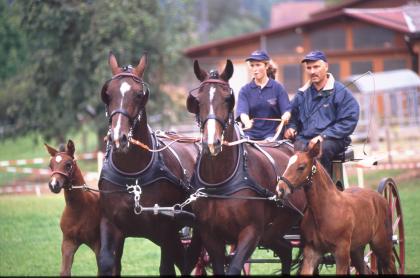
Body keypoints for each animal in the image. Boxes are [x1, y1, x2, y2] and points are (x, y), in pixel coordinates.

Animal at [44, 139, 100, 276]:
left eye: (68, 164)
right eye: (50, 165)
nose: (53, 185)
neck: (78, 210)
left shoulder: (99, 245)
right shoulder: (68, 242)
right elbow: (64, 271)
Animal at [97, 52, 199, 276]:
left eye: (138, 94)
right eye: (107, 93)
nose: (118, 137)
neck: (132, 174)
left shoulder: (166, 228)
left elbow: (166, 268)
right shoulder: (111, 223)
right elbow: (107, 263)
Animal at [187, 59, 306, 274]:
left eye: (228, 99)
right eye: (197, 101)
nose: (211, 143)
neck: (221, 180)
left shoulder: (251, 231)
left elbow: (234, 267)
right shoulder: (210, 234)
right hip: (271, 232)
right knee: (285, 250)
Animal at [276, 140, 398, 274]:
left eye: (301, 167)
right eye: (287, 164)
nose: (280, 189)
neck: (326, 209)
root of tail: (380, 198)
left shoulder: (341, 253)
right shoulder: (312, 252)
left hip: (382, 245)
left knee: (391, 264)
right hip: (356, 250)